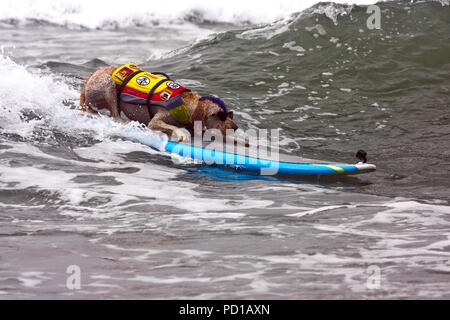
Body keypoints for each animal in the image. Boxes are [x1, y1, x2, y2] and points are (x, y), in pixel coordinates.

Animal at [80, 62, 243, 142]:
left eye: (229, 114)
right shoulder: (155, 121)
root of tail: (90, 77)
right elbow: (171, 126)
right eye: (219, 115)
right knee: (114, 115)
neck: (186, 105)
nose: (235, 127)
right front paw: (181, 133)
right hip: (108, 84)